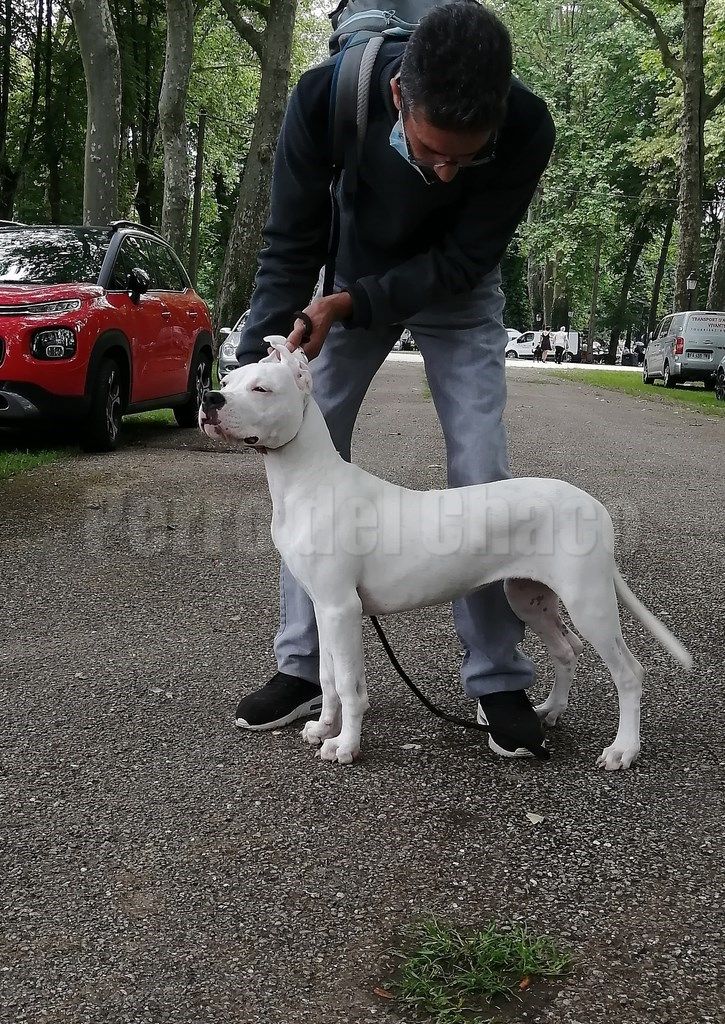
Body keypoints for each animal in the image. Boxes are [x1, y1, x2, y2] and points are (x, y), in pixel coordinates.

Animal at [200, 342, 692, 770]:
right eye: (228, 379)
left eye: (262, 388)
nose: (209, 397)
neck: (308, 479)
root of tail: (595, 505)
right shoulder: (324, 607)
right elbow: (328, 677)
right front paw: (322, 727)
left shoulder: (342, 608)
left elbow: (349, 684)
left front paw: (345, 746)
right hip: (530, 597)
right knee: (567, 649)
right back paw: (549, 711)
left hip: (589, 601)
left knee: (629, 673)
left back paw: (623, 750)